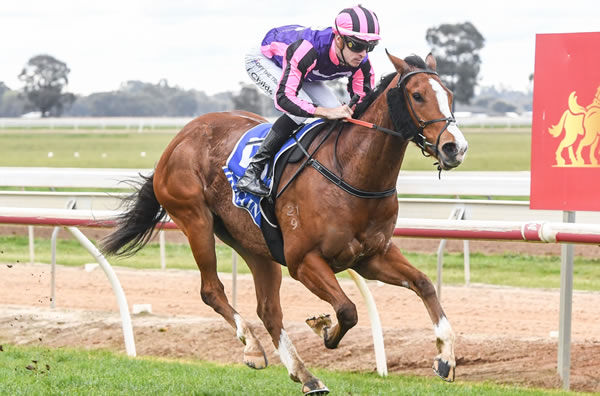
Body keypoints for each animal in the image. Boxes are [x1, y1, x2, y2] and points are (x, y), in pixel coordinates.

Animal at [102, 51, 468, 394]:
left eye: (450, 95)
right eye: (417, 95)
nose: (455, 147)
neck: (352, 170)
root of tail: (179, 138)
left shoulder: (371, 256)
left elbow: (424, 284)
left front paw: (445, 358)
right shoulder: (303, 260)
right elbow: (347, 309)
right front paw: (324, 328)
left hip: (254, 244)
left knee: (268, 310)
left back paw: (306, 376)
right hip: (195, 219)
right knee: (211, 290)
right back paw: (252, 347)